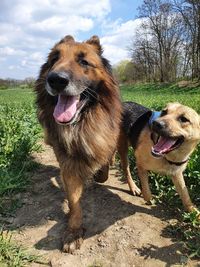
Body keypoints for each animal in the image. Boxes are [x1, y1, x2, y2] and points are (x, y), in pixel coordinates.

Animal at [34, 35, 121, 253]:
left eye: (83, 62)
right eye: (54, 59)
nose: (56, 80)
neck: (82, 124)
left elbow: (104, 169)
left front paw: (98, 173)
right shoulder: (68, 164)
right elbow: (74, 201)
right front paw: (73, 231)